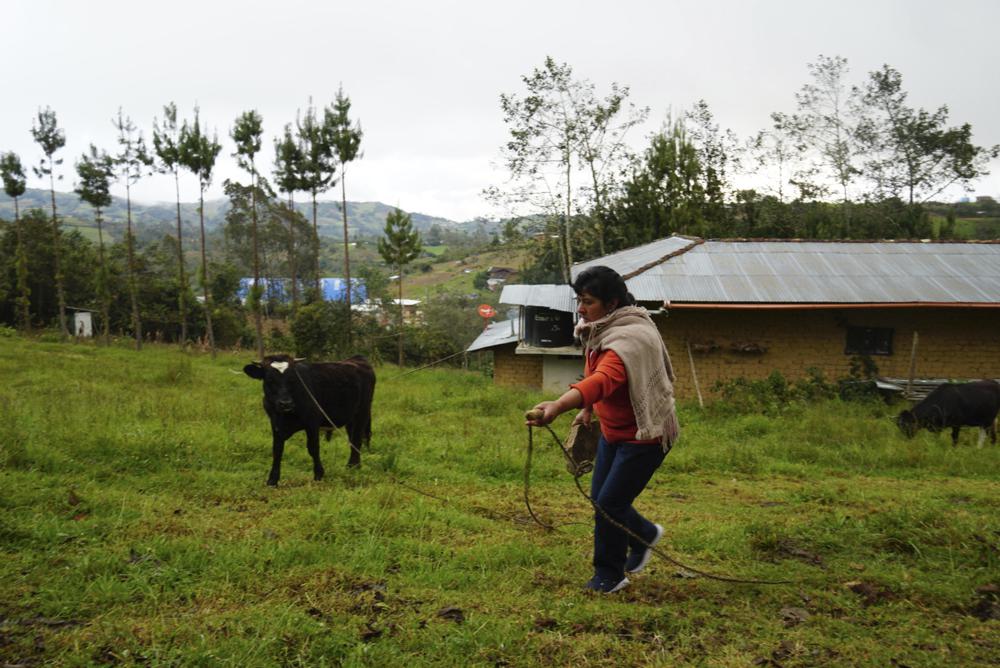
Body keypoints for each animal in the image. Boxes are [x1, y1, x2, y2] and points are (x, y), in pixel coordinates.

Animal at [244, 354, 376, 486]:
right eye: (270, 380)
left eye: (293, 379)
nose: (286, 404)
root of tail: (357, 359)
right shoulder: (275, 424)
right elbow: (277, 450)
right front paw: (272, 480)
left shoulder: (312, 423)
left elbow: (313, 448)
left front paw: (318, 474)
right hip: (350, 417)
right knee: (352, 438)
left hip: (362, 411)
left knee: (357, 438)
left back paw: (353, 466)